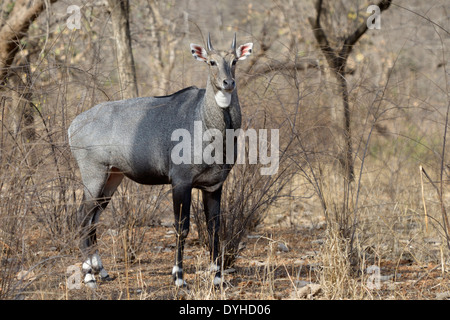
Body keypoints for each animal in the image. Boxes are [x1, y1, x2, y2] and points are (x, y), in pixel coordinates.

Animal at [69, 34, 253, 288]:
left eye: (234, 61)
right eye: (211, 62)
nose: (228, 83)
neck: (207, 123)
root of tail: (73, 125)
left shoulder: (213, 186)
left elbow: (214, 229)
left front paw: (217, 277)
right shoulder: (181, 182)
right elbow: (181, 229)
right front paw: (179, 277)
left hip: (112, 177)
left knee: (94, 218)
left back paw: (101, 271)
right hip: (93, 174)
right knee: (82, 217)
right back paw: (88, 275)